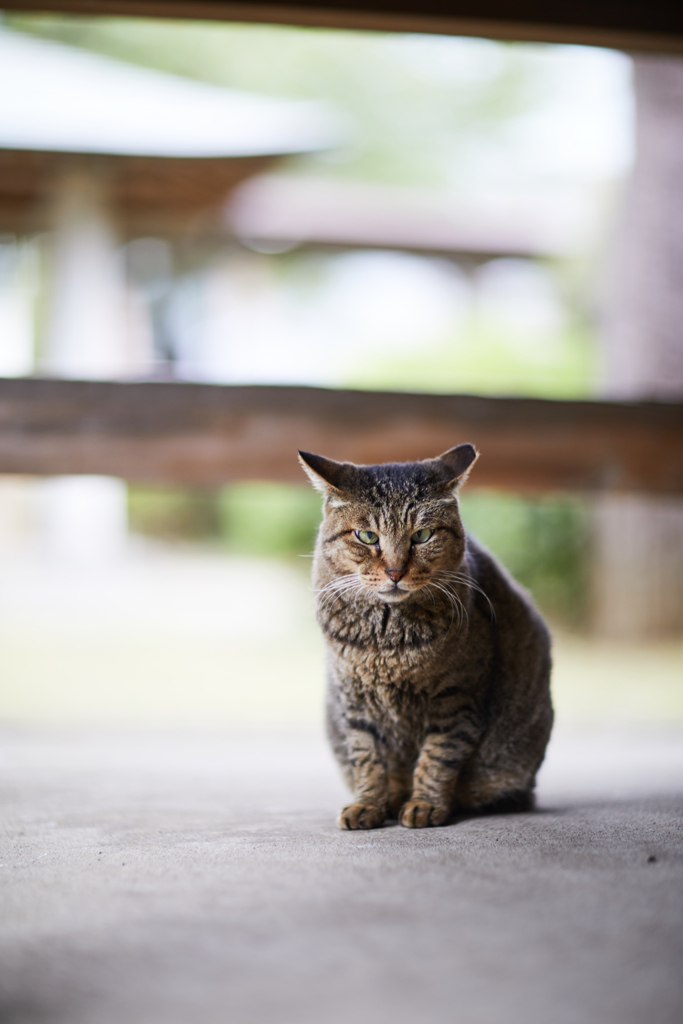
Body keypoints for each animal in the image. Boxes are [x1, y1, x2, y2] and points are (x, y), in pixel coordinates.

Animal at [301, 444, 557, 827]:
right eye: (367, 536)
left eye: (422, 536)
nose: (395, 572)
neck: (386, 639)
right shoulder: (355, 700)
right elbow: (367, 757)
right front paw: (369, 803)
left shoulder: (457, 699)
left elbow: (438, 757)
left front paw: (425, 804)